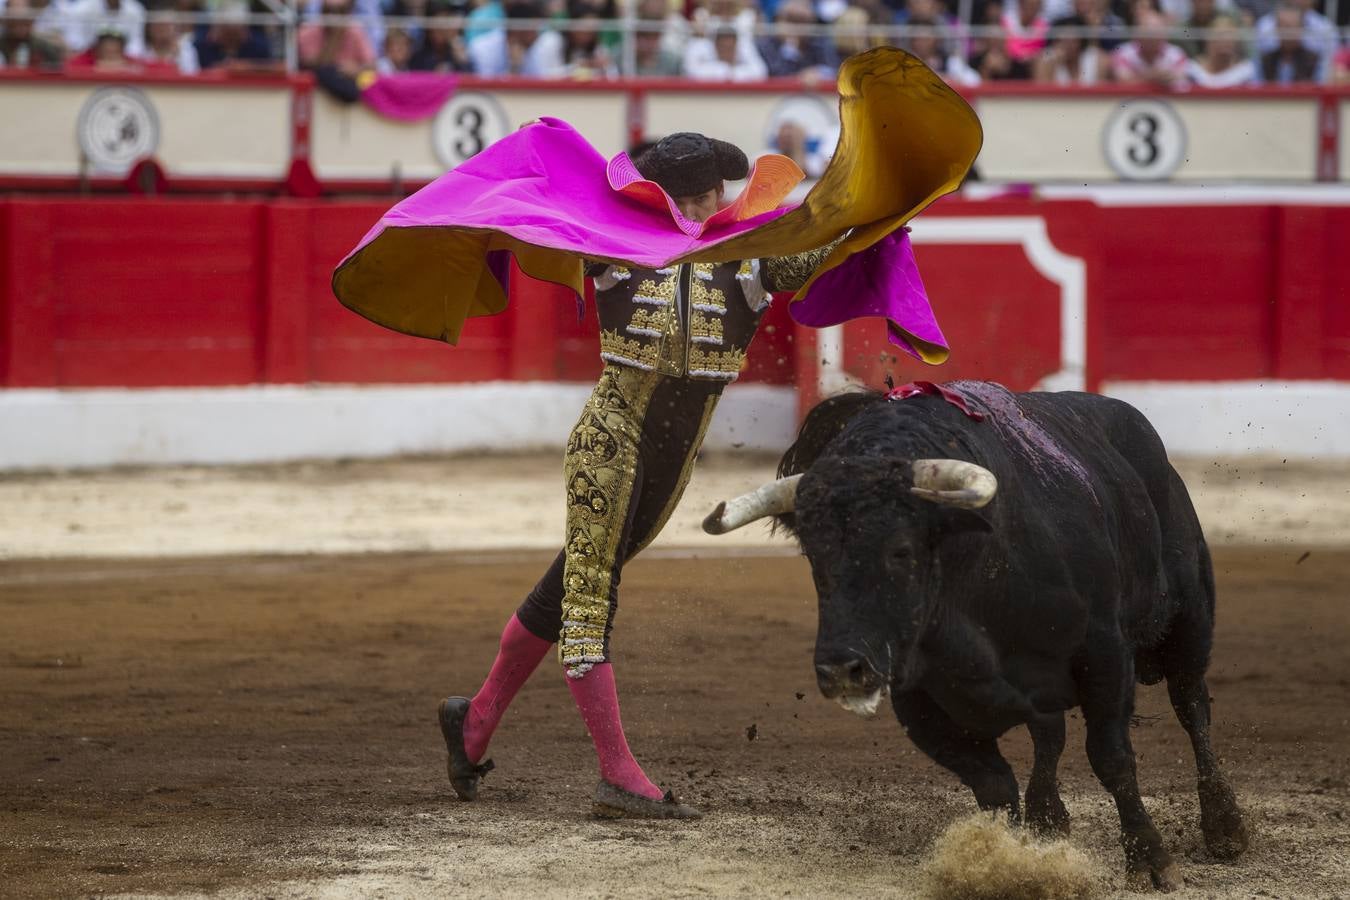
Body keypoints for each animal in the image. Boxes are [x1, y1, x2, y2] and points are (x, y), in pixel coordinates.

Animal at [712, 383, 1247, 895]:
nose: (842, 670)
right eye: (814, 556)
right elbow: (993, 783)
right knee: (1050, 734)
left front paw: (1151, 862)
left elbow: (1111, 757)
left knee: (1191, 706)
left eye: (900, 550)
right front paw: (1009, 858)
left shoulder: (1105, 656)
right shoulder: (920, 704)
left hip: (1188, 622)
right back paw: (1049, 822)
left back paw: (1225, 827)